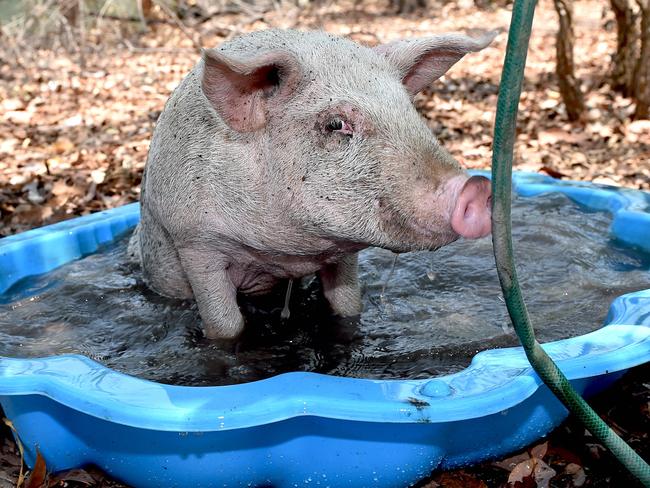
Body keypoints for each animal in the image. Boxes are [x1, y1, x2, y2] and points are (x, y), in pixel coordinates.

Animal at [129, 27, 494, 340]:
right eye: (335, 124)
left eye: (409, 110)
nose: (475, 186)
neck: (285, 256)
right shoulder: (195, 241)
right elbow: (225, 326)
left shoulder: (342, 253)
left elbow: (347, 305)